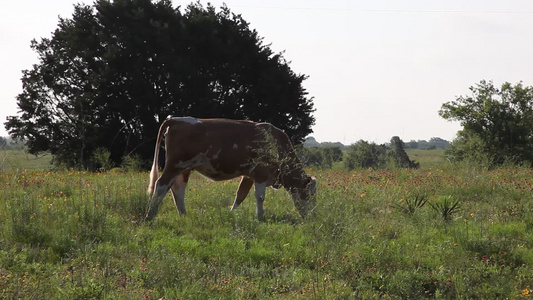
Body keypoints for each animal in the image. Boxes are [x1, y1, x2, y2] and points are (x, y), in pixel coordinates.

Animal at [144, 116, 316, 220]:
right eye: (309, 195)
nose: (312, 217)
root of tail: (176, 119)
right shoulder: (261, 173)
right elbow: (260, 196)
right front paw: (260, 217)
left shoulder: (249, 175)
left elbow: (240, 195)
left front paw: (232, 213)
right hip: (174, 165)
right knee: (161, 186)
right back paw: (150, 215)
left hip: (184, 168)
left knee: (178, 188)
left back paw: (183, 215)